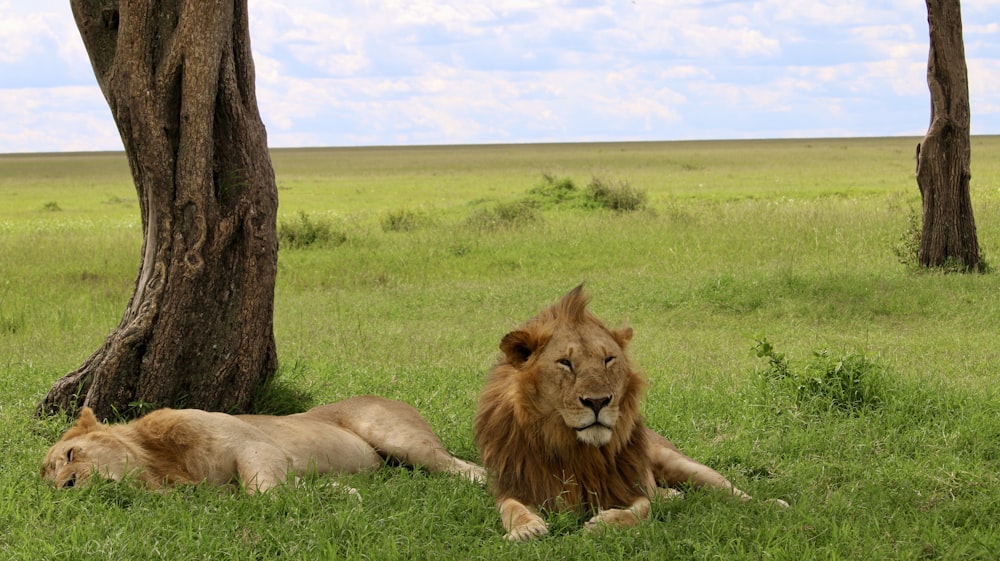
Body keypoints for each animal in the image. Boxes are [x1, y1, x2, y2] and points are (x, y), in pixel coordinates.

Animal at [472, 286, 784, 540]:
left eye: (608, 359)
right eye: (565, 362)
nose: (598, 401)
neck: (574, 448)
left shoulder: (632, 485)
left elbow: (643, 508)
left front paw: (604, 523)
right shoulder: (515, 485)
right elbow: (512, 508)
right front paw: (526, 529)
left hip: (681, 464)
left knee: (729, 489)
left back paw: (772, 505)